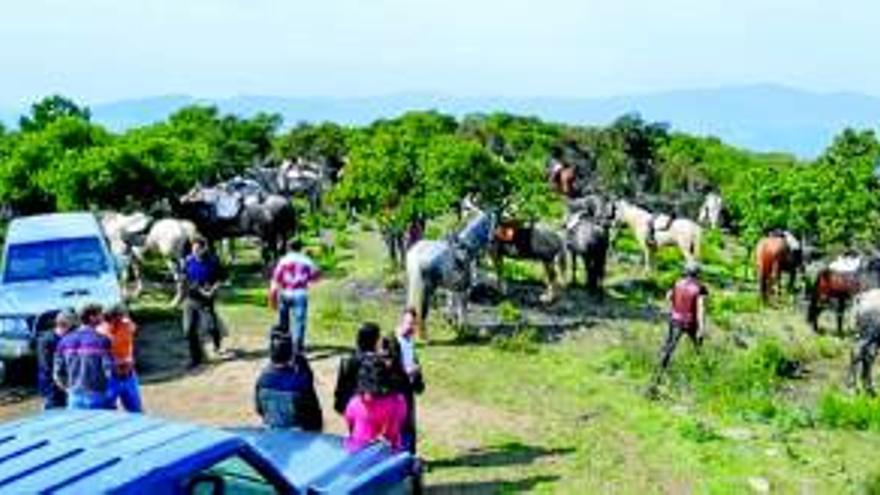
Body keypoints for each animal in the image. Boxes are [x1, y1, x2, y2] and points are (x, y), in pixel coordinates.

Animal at [404, 207, 496, 340]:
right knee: (423, 309)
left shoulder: (454, 287)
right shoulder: (464, 288)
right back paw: (424, 336)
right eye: (492, 223)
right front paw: (463, 329)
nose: (492, 241)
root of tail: (416, 254)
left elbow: (452, 303)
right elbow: (463, 309)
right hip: (426, 288)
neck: (466, 247)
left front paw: (452, 323)